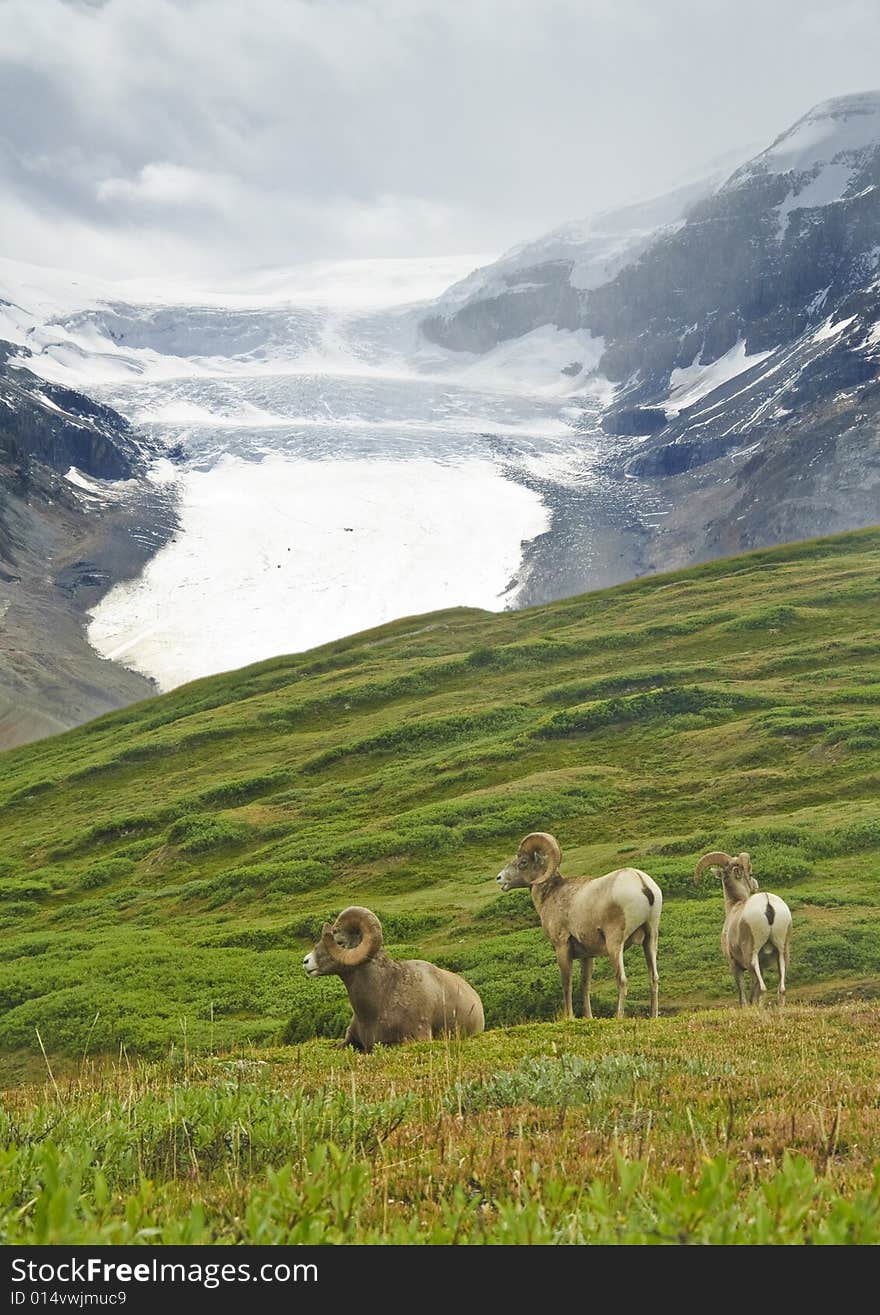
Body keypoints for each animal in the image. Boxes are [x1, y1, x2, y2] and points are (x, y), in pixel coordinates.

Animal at [494, 831, 657, 1015]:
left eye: (523, 862)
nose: (499, 878)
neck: (551, 893)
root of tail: (641, 882)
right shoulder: (587, 956)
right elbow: (584, 987)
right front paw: (588, 1017)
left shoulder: (562, 946)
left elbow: (567, 985)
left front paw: (569, 1016)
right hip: (651, 937)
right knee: (653, 978)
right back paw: (653, 1016)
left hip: (615, 944)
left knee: (622, 980)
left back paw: (618, 1017)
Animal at [694, 852, 789, 1004]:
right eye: (750, 874)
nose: (755, 884)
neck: (734, 906)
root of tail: (767, 903)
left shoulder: (735, 965)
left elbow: (743, 997)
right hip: (783, 952)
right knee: (781, 989)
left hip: (752, 955)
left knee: (761, 988)